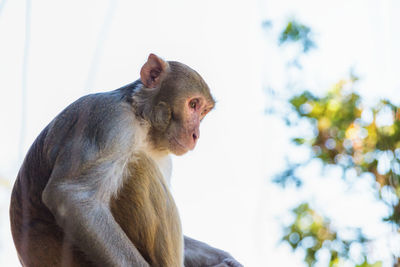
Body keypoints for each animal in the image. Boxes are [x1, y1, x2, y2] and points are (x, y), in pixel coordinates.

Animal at [9, 54, 242, 267]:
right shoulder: (109, 121)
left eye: (203, 111)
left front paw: (227, 260)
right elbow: (72, 198)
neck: (142, 119)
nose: (196, 135)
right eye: (192, 104)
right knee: (140, 168)